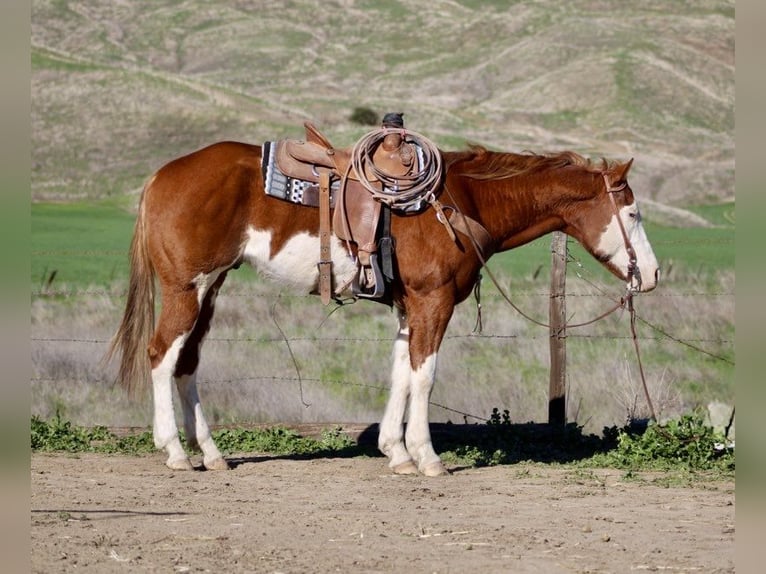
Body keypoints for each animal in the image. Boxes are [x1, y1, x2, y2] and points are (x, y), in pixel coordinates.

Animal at [105, 139, 659, 476]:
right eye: (632, 213)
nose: (652, 275)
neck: (461, 202)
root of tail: (161, 176)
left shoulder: (408, 306)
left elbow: (401, 373)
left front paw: (395, 452)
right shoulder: (434, 301)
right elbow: (425, 376)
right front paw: (427, 457)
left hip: (211, 288)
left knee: (187, 363)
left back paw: (212, 453)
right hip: (187, 288)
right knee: (162, 356)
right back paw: (175, 452)